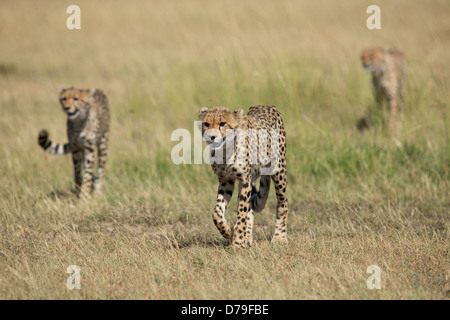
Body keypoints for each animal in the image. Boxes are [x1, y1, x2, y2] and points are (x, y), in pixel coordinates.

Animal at [198, 105, 288, 250]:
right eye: (206, 124)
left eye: (222, 123)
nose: (212, 137)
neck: (225, 150)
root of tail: (267, 106)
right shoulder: (226, 181)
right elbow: (217, 213)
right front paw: (229, 232)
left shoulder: (244, 180)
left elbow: (241, 213)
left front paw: (238, 243)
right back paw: (247, 238)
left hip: (278, 170)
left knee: (282, 202)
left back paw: (279, 237)